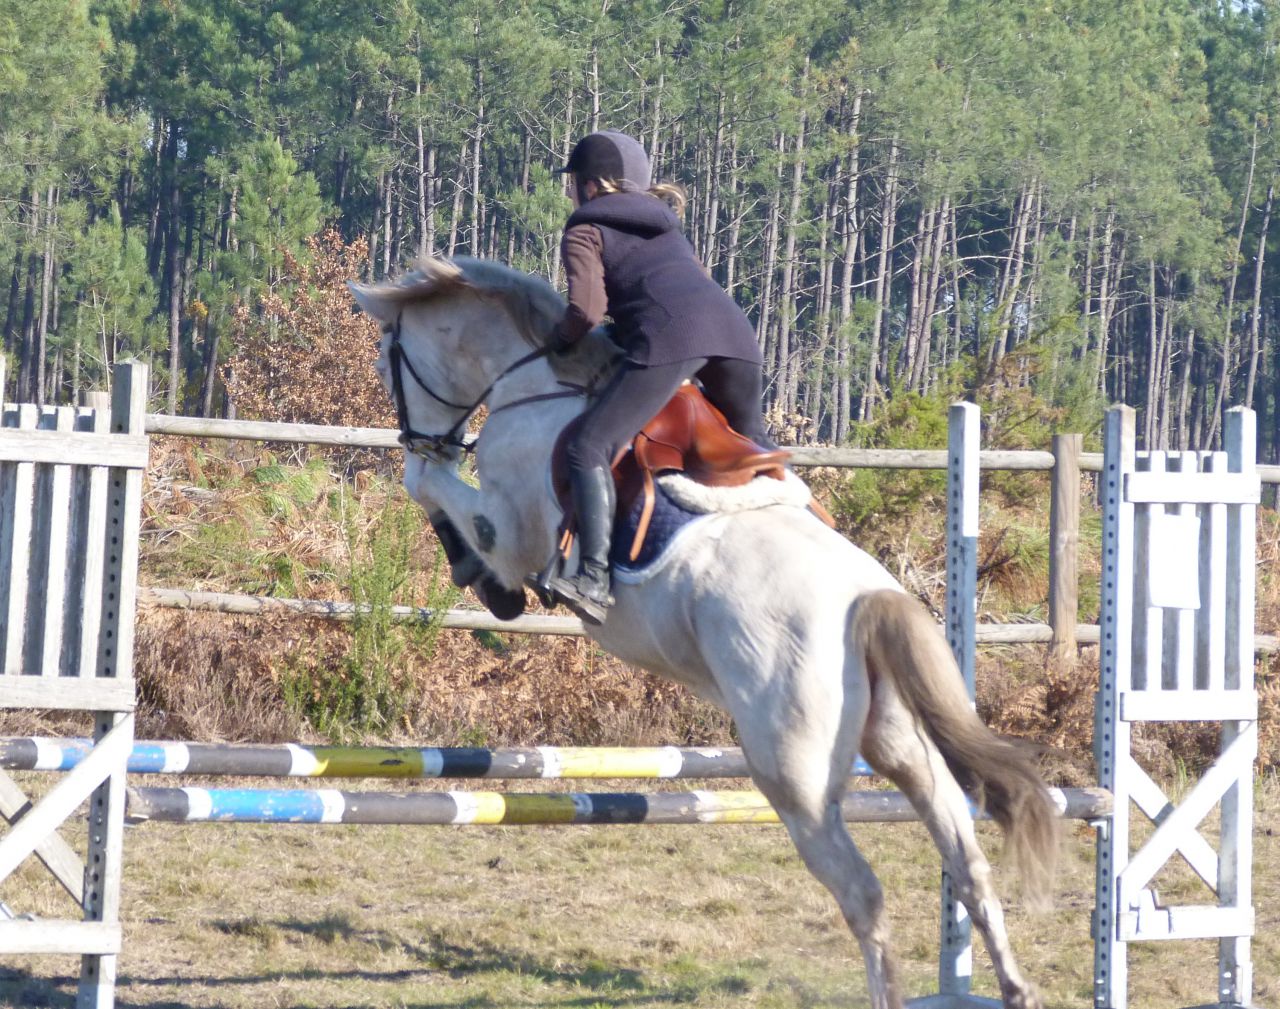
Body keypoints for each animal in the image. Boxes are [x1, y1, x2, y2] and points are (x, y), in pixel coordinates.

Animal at [349, 256, 1060, 1009]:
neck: (532, 381)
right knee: (966, 858)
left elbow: (427, 483)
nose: (418, 433)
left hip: (794, 777)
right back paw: (1015, 987)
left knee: (863, 893)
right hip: (899, 744)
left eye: (385, 362)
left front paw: (483, 578)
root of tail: (869, 599)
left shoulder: (511, 534)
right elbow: (430, 483)